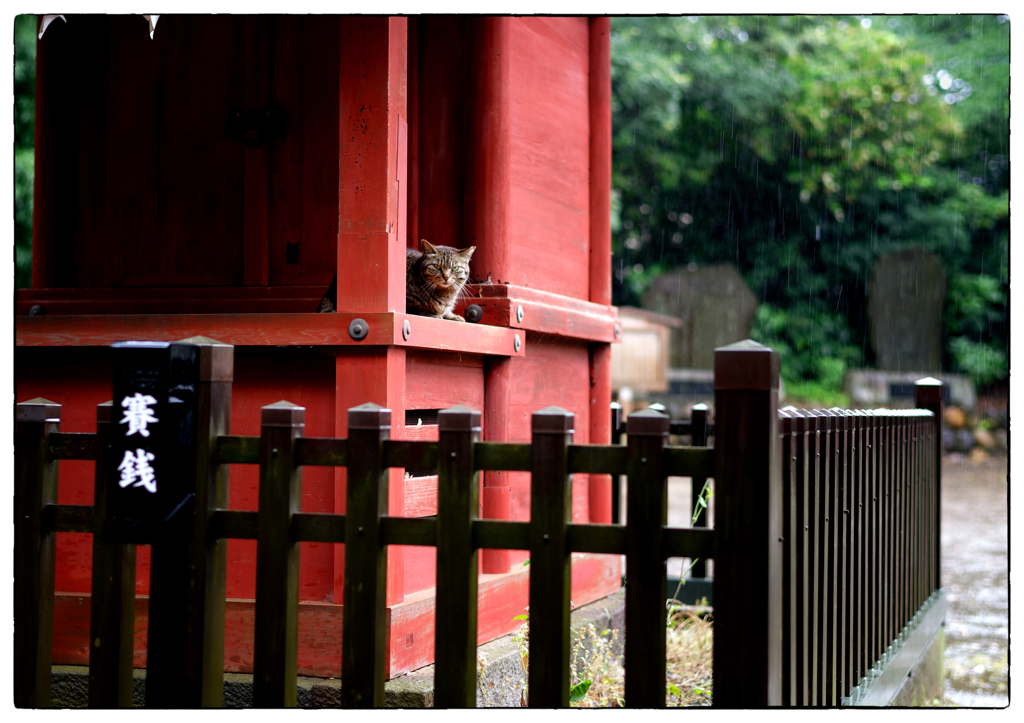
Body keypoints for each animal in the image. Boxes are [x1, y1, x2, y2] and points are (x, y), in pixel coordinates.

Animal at [315, 239, 475, 317]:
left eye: (455, 268)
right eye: (436, 266)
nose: (446, 277)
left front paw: (453, 316)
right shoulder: (404, 301)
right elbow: (417, 308)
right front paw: (434, 314)